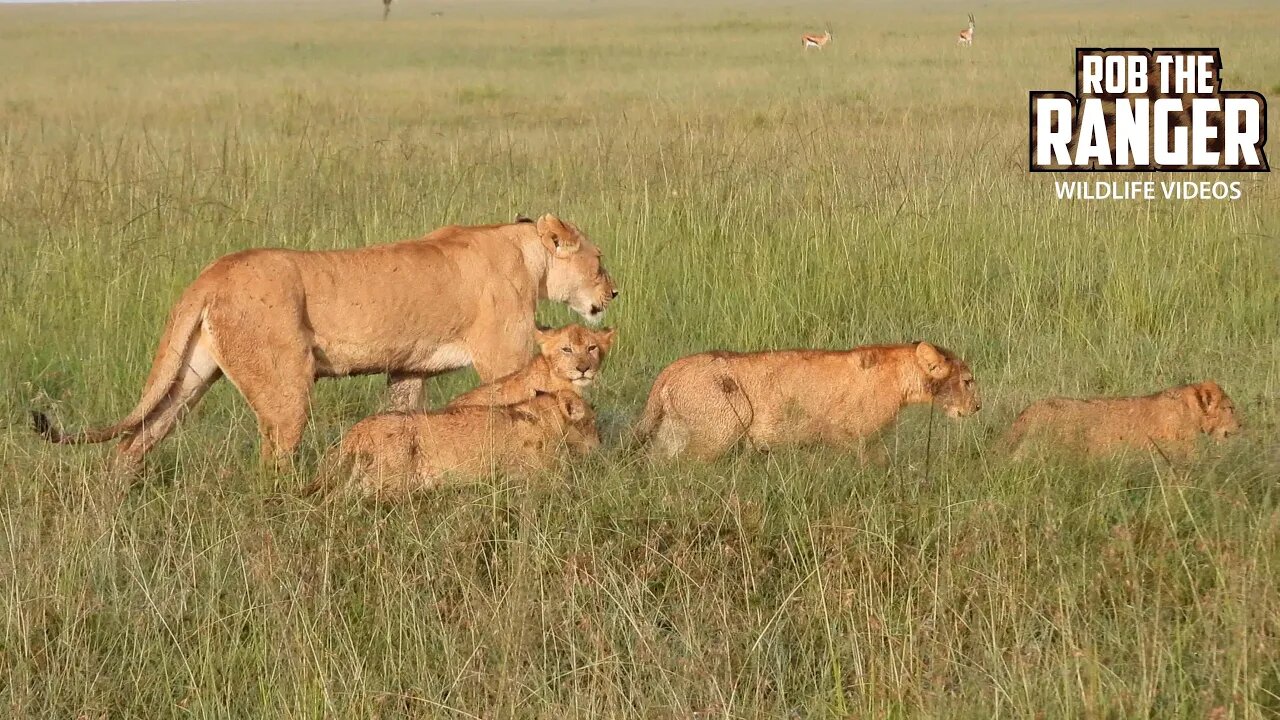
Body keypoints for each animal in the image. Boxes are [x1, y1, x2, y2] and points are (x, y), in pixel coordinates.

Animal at [632, 340, 977, 458]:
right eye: (968, 381)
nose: (978, 406)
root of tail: (670, 369)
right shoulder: (845, 435)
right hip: (722, 427)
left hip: (671, 434)